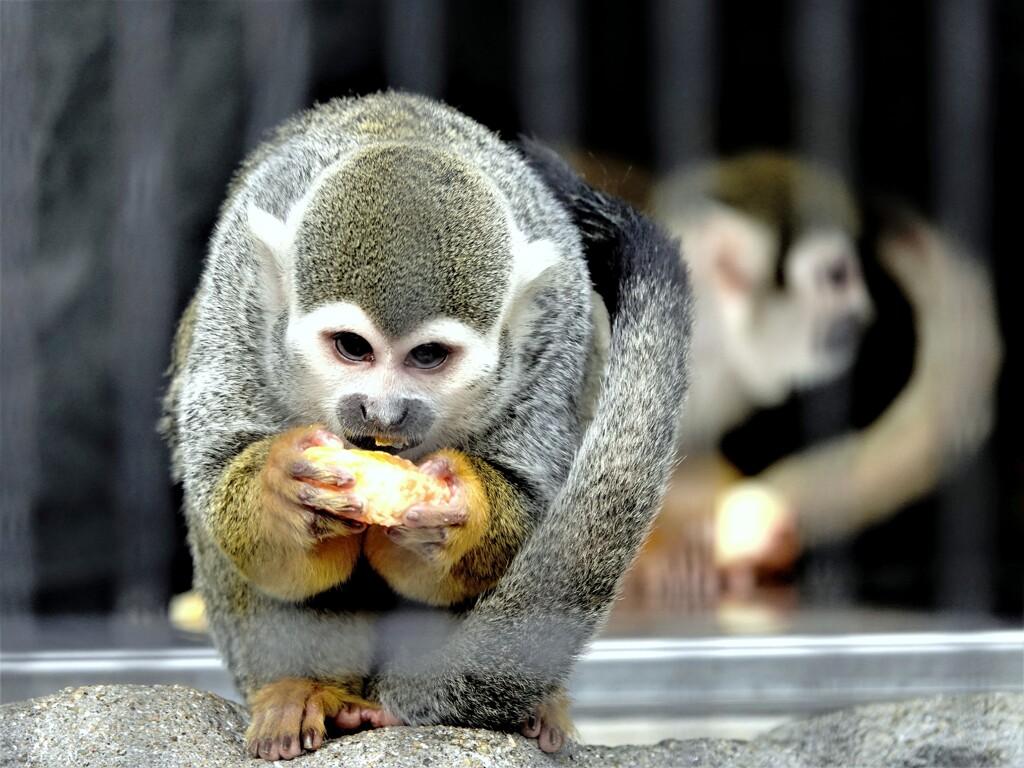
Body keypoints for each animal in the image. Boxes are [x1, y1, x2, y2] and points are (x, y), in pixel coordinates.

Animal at [163, 93, 692, 761]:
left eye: (429, 356)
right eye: (352, 347)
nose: (383, 414)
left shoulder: (557, 325)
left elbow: (528, 498)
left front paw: (457, 511)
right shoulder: (239, 293)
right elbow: (219, 476)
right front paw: (282, 488)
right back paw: (300, 688)